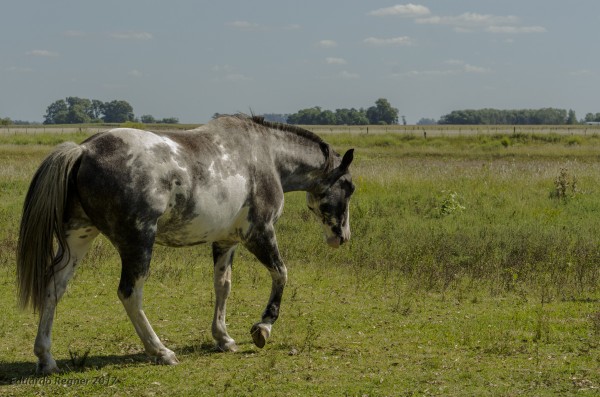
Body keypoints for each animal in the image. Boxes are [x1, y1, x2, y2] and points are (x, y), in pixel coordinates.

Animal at [16, 113, 354, 372]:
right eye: (348, 187)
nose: (342, 237)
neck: (265, 155)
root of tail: (84, 150)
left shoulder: (226, 241)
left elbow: (223, 286)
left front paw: (224, 338)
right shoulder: (259, 233)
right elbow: (281, 273)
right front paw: (263, 328)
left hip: (79, 237)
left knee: (54, 286)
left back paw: (46, 358)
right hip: (138, 242)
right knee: (130, 293)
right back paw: (160, 351)